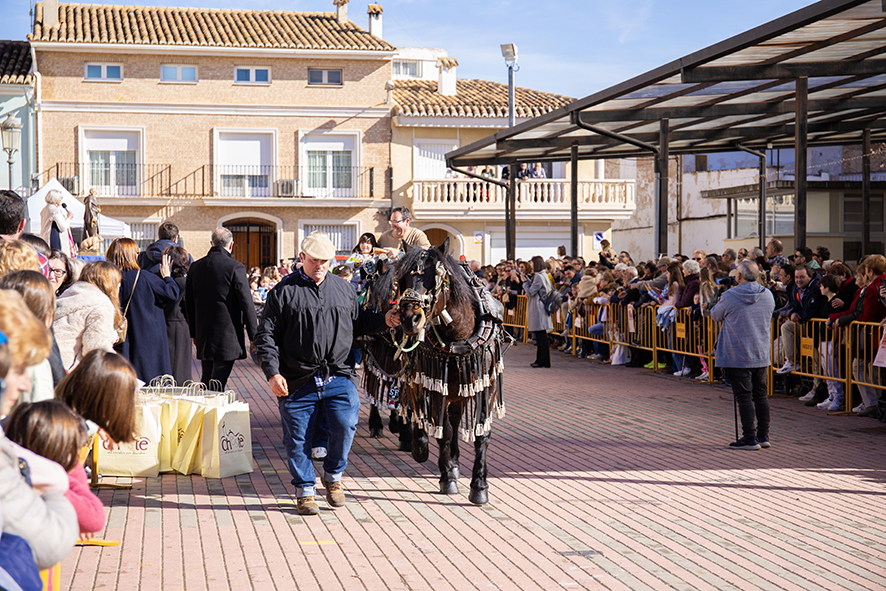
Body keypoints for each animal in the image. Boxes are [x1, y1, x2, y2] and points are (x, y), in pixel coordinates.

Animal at [360, 238, 509, 505]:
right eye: (403, 279)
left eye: (435, 277)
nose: (409, 319)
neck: (459, 336)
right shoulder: (432, 382)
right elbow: (442, 430)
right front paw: (446, 475)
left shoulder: (484, 384)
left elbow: (481, 433)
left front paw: (479, 486)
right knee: (390, 394)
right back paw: (397, 433)